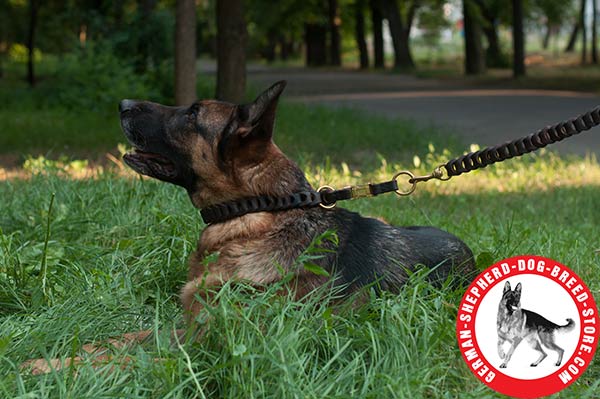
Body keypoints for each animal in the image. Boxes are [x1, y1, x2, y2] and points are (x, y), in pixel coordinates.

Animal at [22, 82, 474, 376]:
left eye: (192, 113)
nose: (123, 103)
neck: (256, 210)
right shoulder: (187, 330)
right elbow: (116, 341)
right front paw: (43, 355)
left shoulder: (200, 350)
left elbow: (113, 357)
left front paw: (43, 367)